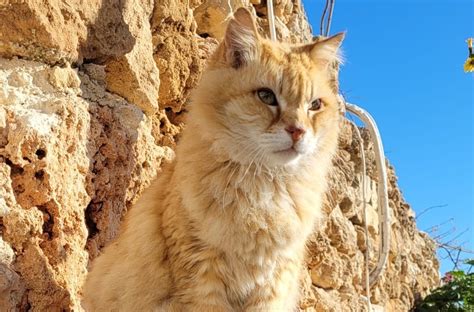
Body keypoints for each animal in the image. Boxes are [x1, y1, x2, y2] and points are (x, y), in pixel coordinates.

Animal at [83, 7, 342, 312]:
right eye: (266, 96)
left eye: (314, 105)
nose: (298, 131)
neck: (266, 187)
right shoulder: (202, 276)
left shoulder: (274, 283)